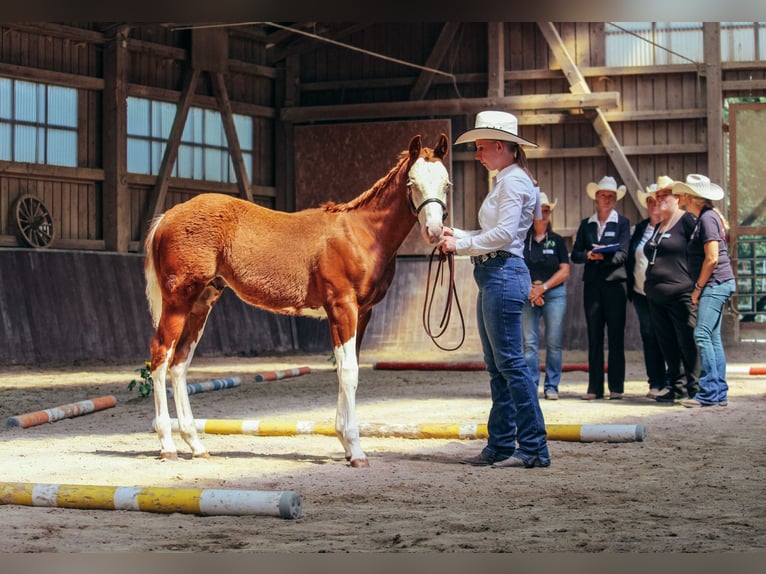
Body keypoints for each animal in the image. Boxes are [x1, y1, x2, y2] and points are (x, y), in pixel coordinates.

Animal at [144, 133, 451, 467]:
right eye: (412, 182)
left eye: (446, 184)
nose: (435, 231)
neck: (361, 234)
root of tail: (167, 216)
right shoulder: (342, 307)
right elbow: (349, 372)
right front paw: (356, 451)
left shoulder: (362, 312)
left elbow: (346, 370)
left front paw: (346, 444)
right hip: (178, 300)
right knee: (160, 356)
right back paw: (167, 445)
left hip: (202, 302)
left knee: (179, 363)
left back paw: (196, 444)